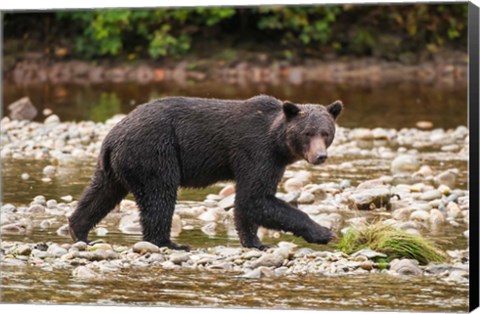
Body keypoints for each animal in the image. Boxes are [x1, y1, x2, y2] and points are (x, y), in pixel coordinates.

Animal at [69, 94, 344, 250]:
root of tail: (112, 137)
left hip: (114, 166)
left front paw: (256, 242)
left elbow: (248, 202)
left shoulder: (269, 162)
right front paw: (324, 232)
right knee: (160, 196)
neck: (278, 143)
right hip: (154, 152)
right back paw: (169, 243)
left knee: (101, 193)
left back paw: (80, 231)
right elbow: (255, 198)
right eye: (307, 133)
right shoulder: (256, 151)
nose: (320, 156)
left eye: (326, 133)